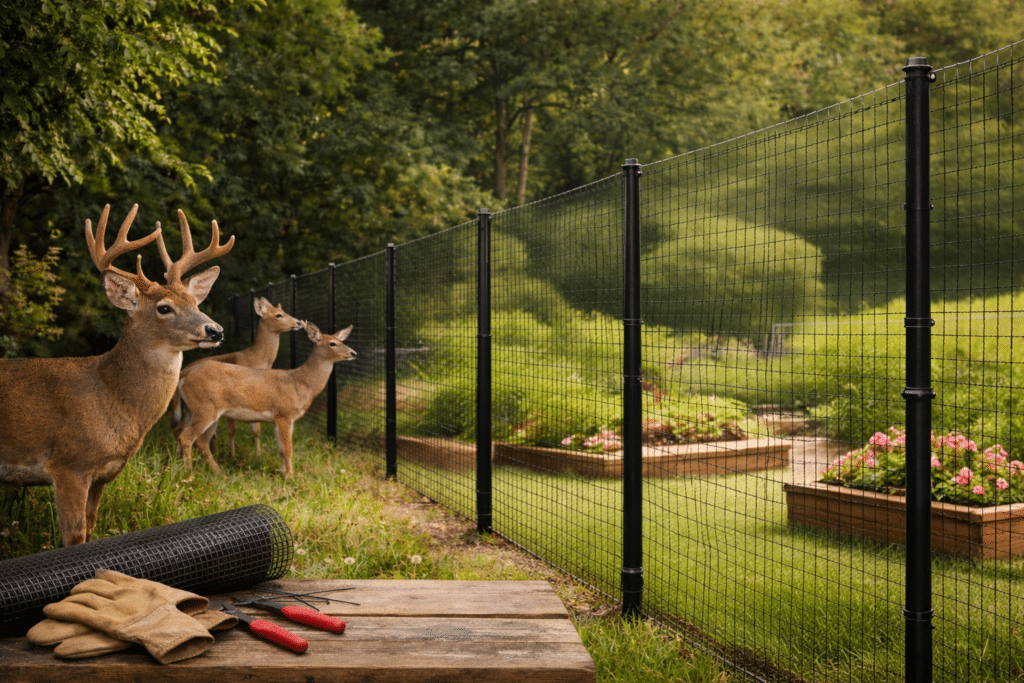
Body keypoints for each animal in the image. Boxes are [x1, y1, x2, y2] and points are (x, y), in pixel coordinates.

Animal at [0, 204, 234, 546]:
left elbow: (91, 526)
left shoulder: (104, 473)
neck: (110, 395)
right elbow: (74, 536)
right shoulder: (68, 464)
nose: (215, 330)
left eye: (194, 302)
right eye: (164, 308)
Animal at [169, 297, 304, 460]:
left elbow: (256, 429)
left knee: (181, 428)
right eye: (279, 315)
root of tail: (182, 373)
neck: (257, 358)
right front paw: (232, 456)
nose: (298, 323)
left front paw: (258, 455)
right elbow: (232, 430)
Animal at [174, 323, 355, 477]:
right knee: (188, 437)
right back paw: (189, 474)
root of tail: (184, 375)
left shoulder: (281, 419)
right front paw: (291, 476)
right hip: (206, 408)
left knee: (191, 436)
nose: (353, 353)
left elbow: (281, 450)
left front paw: (283, 473)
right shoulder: (284, 414)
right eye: (332, 343)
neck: (301, 383)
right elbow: (288, 449)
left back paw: (210, 471)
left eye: (342, 341)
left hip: (195, 410)